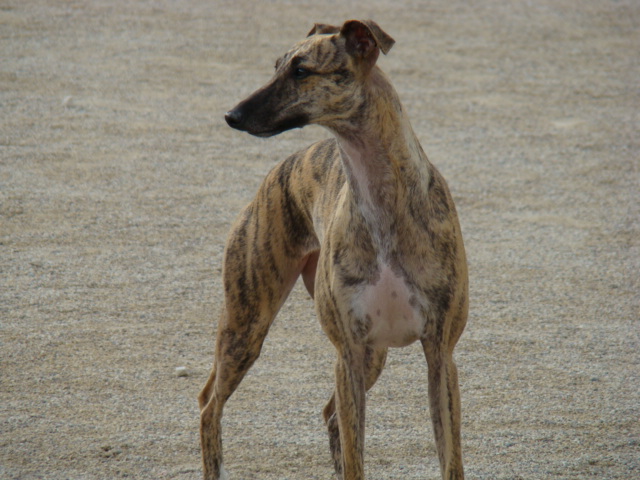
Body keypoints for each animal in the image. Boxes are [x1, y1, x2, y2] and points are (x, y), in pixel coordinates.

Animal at [198, 19, 468, 480]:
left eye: (301, 70)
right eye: (275, 66)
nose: (231, 115)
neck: (384, 201)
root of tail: (281, 168)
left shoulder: (439, 355)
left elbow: (450, 460)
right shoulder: (348, 353)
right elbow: (356, 456)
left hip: (371, 355)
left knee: (328, 416)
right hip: (246, 324)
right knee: (209, 405)